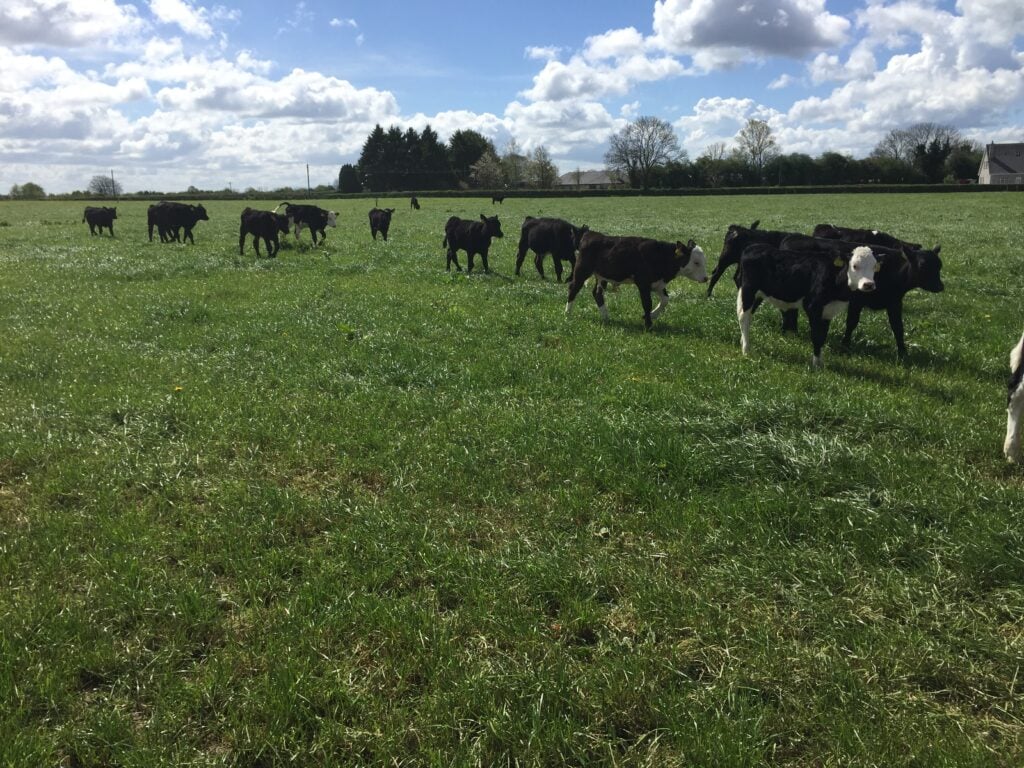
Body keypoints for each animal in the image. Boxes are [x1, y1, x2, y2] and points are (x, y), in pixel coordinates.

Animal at [565, 232, 707, 330]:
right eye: (696, 262)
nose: (706, 278)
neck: (660, 256)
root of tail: (590, 234)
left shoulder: (658, 283)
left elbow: (665, 300)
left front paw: (651, 315)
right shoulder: (643, 283)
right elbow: (647, 303)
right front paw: (648, 325)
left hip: (601, 277)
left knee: (597, 293)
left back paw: (606, 317)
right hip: (582, 271)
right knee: (573, 288)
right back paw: (567, 314)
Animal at [736, 243, 878, 368]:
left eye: (874, 267)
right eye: (855, 266)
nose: (868, 285)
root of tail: (753, 247)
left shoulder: (828, 311)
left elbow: (823, 336)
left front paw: (821, 363)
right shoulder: (813, 307)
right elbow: (816, 336)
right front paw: (815, 365)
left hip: (759, 294)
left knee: (748, 317)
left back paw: (743, 341)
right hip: (749, 289)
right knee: (744, 317)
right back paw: (746, 349)